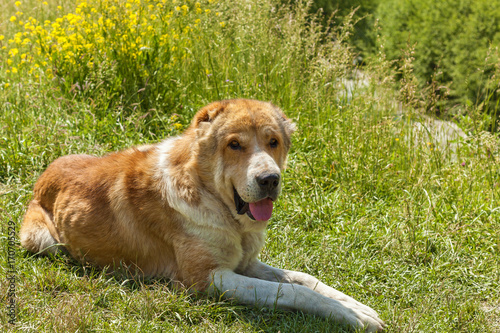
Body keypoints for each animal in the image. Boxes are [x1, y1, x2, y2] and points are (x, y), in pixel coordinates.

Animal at [20, 98, 382, 330]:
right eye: (234, 145)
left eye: (273, 142)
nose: (269, 179)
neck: (214, 200)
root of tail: (43, 176)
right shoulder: (208, 278)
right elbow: (294, 291)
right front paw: (350, 315)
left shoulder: (245, 264)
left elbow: (305, 279)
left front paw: (354, 305)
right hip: (42, 240)